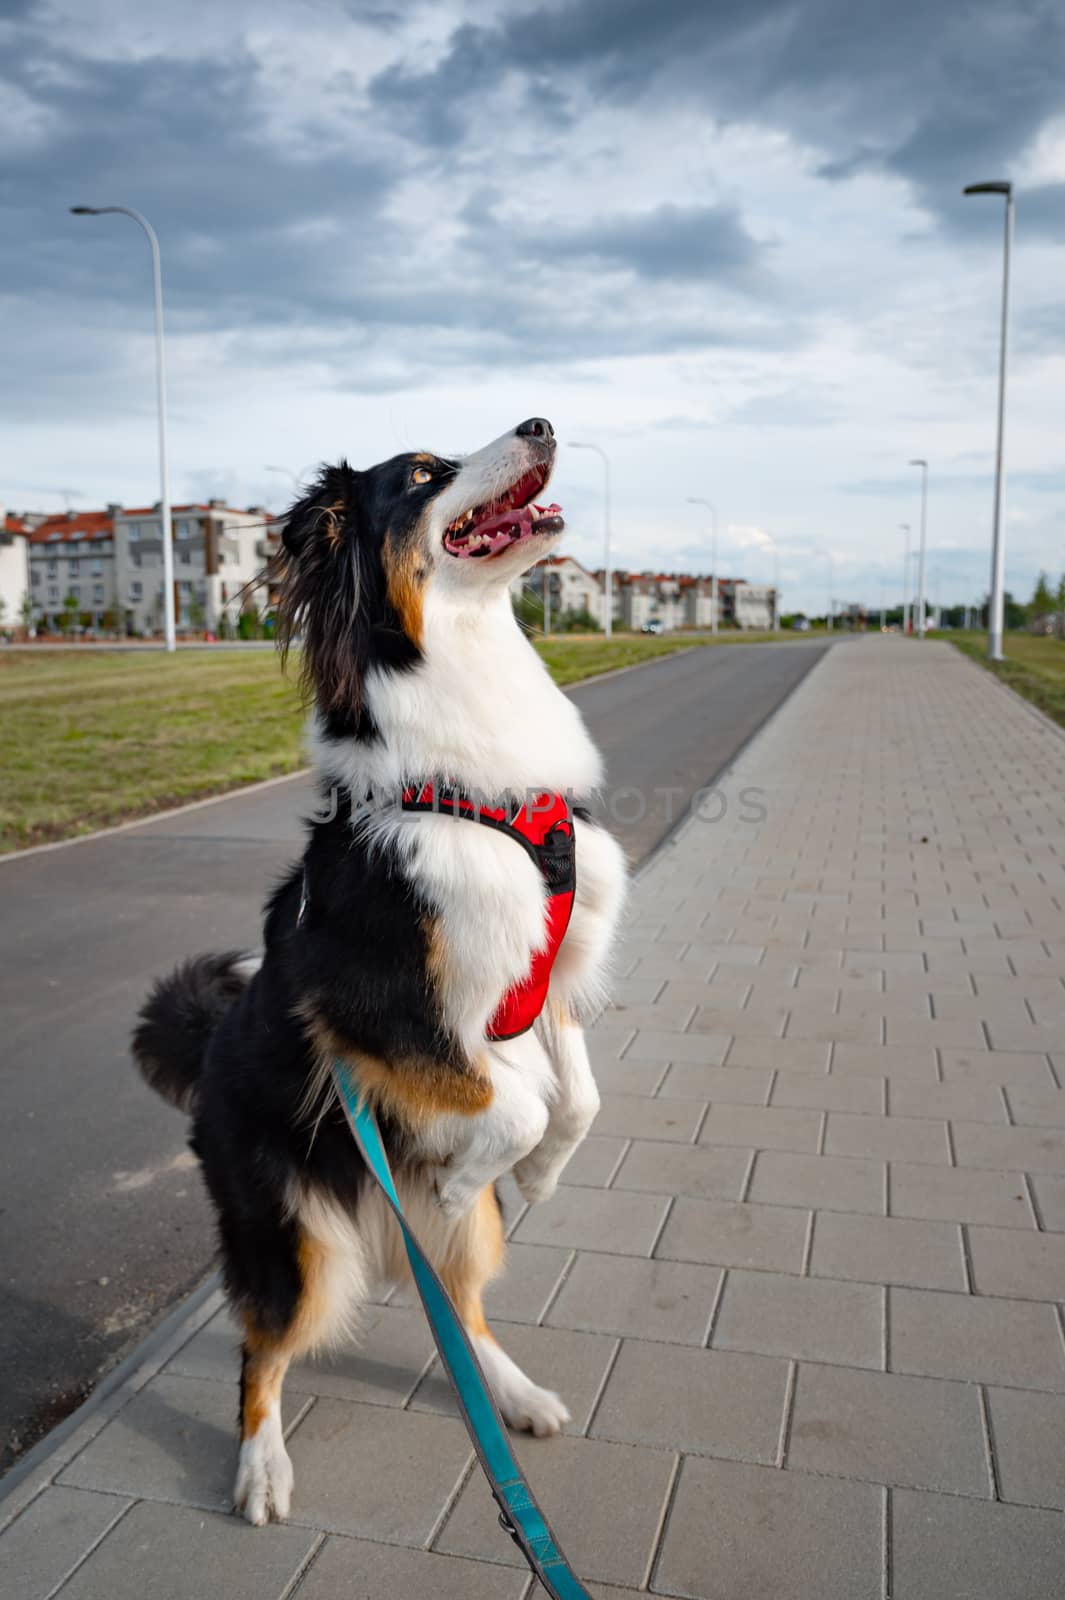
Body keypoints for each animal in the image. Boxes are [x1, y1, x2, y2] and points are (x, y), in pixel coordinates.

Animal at [135, 419, 626, 1529]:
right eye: (421, 475)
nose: (540, 423)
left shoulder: (547, 968)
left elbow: (575, 1097)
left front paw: (532, 1175)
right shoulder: (372, 1008)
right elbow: (514, 1101)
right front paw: (474, 1169)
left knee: (463, 1306)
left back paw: (513, 1392)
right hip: (294, 1236)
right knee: (262, 1348)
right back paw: (260, 1469)